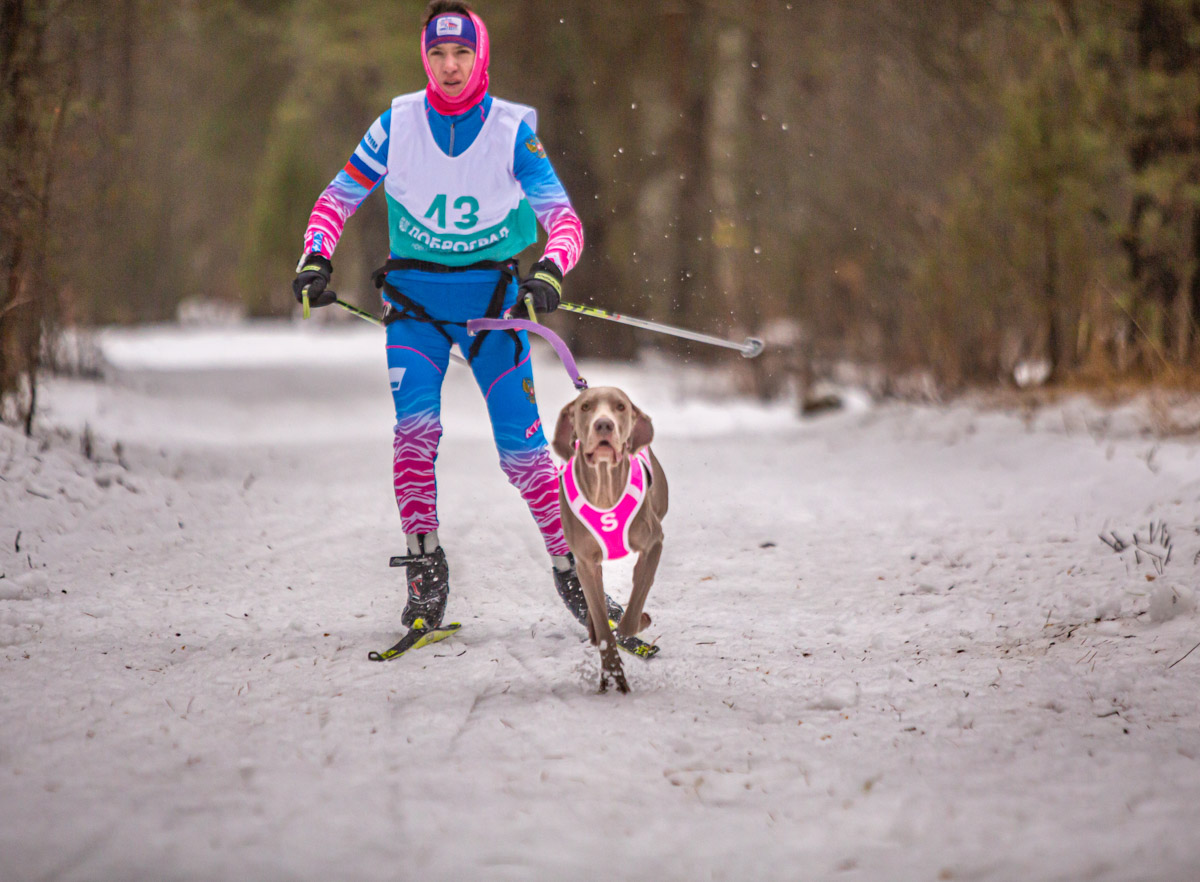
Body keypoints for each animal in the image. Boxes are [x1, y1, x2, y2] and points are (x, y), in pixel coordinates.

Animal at [549, 388, 667, 691]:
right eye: (586, 407)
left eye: (620, 407)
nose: (604, 424)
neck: (604, 489)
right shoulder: (584, 560)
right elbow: (604, 628)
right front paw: (613, 675)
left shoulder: (654, 543)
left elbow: (631, 614)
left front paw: (639, 621)